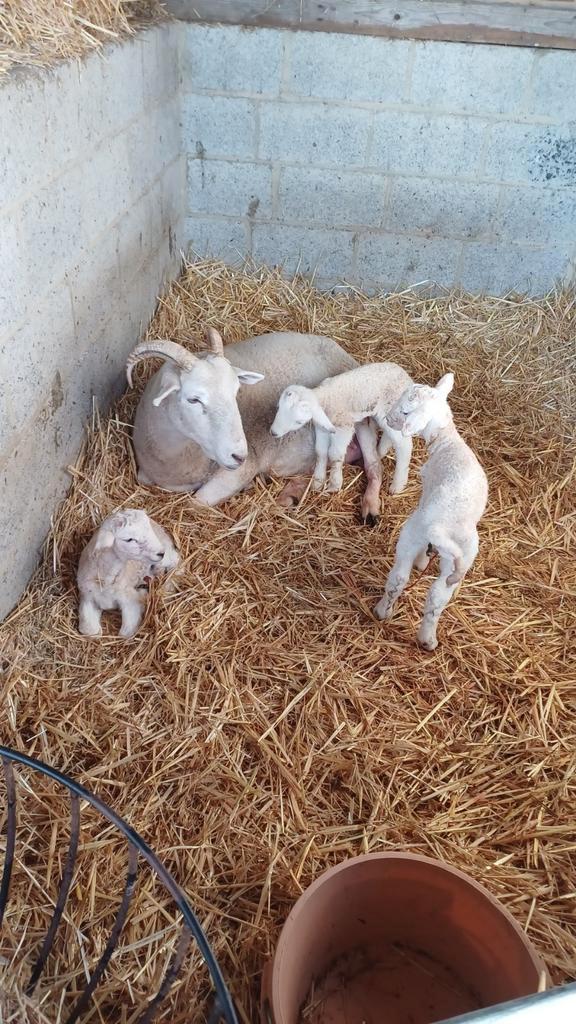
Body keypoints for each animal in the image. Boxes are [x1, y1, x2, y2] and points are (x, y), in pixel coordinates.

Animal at [77, 509, 180, 638]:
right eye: (130, 539)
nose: (161, 553)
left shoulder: (130, 599)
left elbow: (126, 633)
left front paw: (143, 595)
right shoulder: (87, 596)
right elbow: (89, 630)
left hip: (166, 557)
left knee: (176, 563)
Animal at [127, 328, 373, 510]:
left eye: (236, 391)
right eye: (193, 399)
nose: (239, 455)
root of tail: (337, 347)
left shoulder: (240, 471)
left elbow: (195, 503)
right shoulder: (145, 473)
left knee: (373, 467)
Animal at [269, 362, 414, 522]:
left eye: (298, 421)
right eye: (278, 409)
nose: (273, 433)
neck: (326, 397)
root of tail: (407, 377)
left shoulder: (344, 427)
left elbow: (334, 454)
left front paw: (334, 483)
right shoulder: (322, 427)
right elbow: (320, 452)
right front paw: (318, 481)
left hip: (392, 411)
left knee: (404, 445)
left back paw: (398, 485)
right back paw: (381, 451)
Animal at [373, 372, 488, 650]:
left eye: (405, 411)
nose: (389, 419)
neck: (447, 441)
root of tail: (441, 526)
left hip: (413, 532)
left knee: (398, 578)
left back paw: (383, 612)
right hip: (462, 554)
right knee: (437, 597)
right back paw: (427, 638)